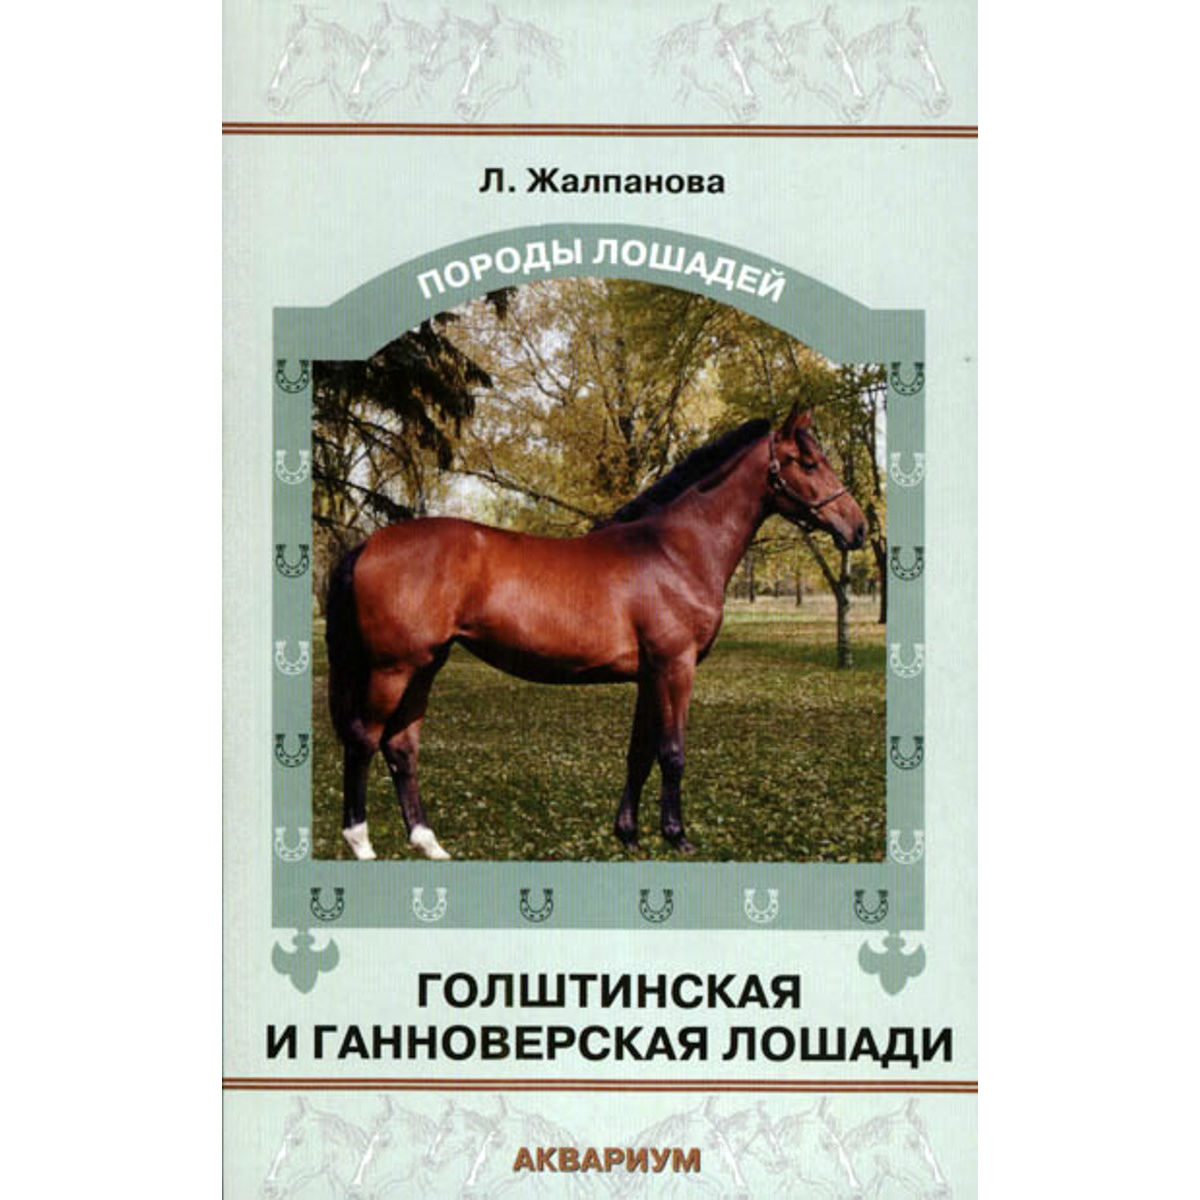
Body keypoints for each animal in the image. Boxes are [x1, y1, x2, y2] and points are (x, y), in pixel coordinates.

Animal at [325, 407, 865, 861]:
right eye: (808, 462)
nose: (857, 528)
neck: (674, 550)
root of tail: (367, 544)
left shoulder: (650, 675)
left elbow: (639, 753)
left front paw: (627, 833)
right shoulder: (675, 667)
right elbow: (672, 753)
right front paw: (677, 836)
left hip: (425, 666)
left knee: (401, 747)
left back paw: (428, 842)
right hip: (392, 669)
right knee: (364, 739)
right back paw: (361, 842)